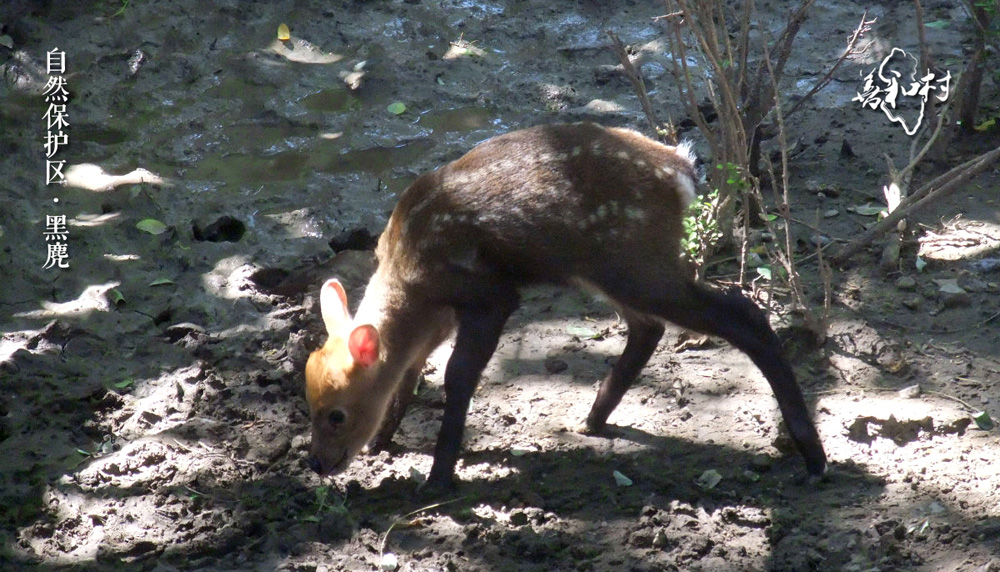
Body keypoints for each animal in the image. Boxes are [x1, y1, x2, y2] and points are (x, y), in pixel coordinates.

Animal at [304, 123, 828, 490]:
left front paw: (438, 478)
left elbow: (457, 375)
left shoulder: (490, 296)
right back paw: (593, 419)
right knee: (649, 328)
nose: (318, 463)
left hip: (638, 262)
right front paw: (385, 443)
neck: (412, 277)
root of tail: (682, 170)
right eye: (308, 404)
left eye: (336, 414)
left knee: (744, 316)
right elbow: (410, 374)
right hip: (612, 268)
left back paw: (815, 458)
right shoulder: (439, 319)